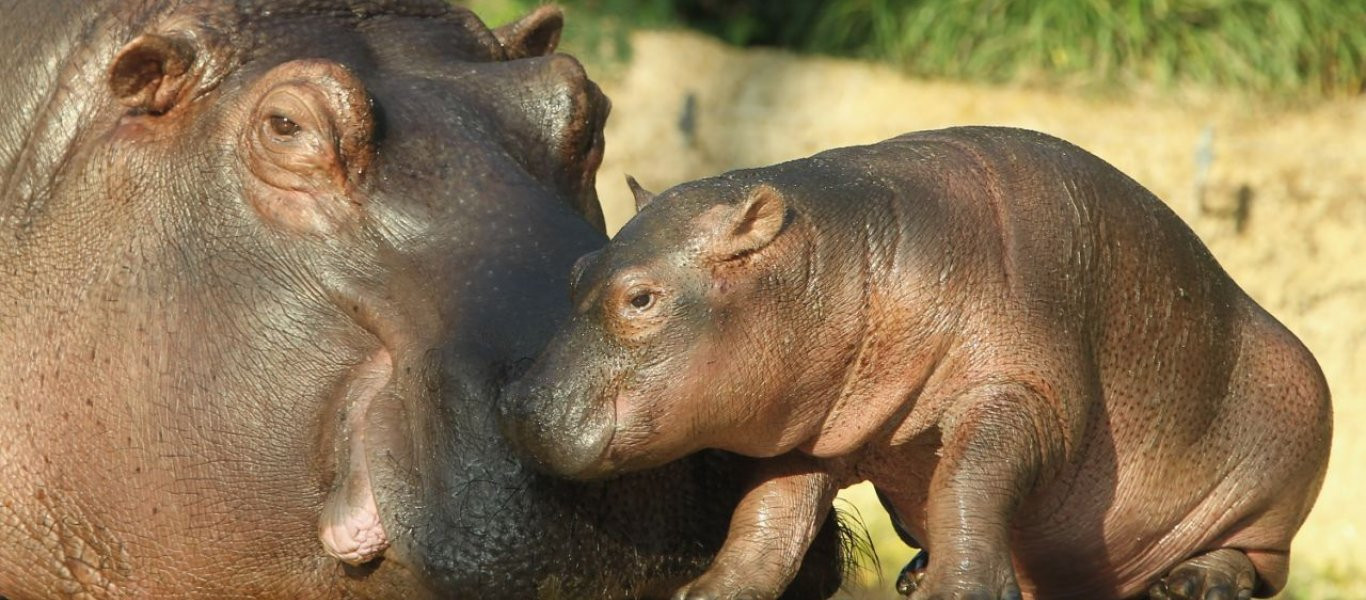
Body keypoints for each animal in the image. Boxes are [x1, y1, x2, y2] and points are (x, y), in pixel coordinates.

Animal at [502, 127, 1333, 600]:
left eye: (640, 298)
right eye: (577, 269)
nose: (515, 405)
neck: (844, 257)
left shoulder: (1024, 393)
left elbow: (971, 478)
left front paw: (956, 589)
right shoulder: (814, 430)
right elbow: (767, 519)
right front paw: (707, 592)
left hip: (1287, 452)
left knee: (1259, 563)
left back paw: (1193, 581)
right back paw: (909, 573)